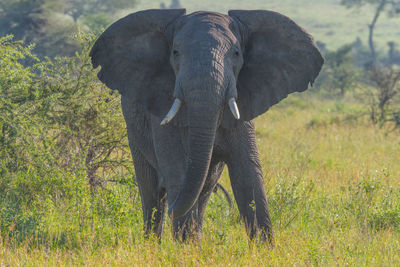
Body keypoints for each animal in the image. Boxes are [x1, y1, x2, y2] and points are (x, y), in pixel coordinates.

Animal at [90, 8, 322, 243]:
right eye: (175, 52)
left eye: (236, 53)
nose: (173, 207)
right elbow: (179, 171)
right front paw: (185, 248)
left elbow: (248, 175)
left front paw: (264, 247)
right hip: (135, 137)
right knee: (152, 196)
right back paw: (153, 242)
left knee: (200, 194)